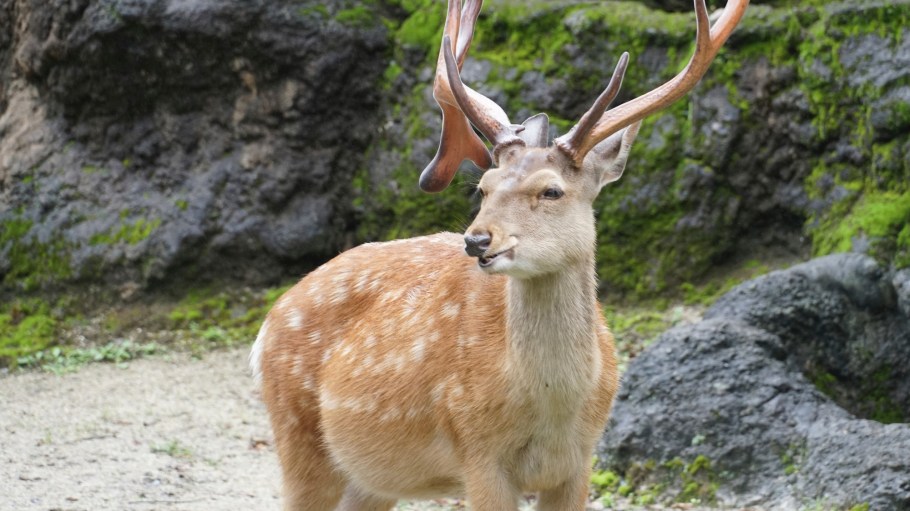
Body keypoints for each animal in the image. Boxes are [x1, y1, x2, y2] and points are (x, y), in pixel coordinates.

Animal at [251, 0, 747, 509]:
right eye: (483, 187)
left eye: (551, 190)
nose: (476, 241)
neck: (552, 411)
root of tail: (268, 322)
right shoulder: (478, 453)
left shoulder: (580, 461)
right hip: (298, 439)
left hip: (370, 480)